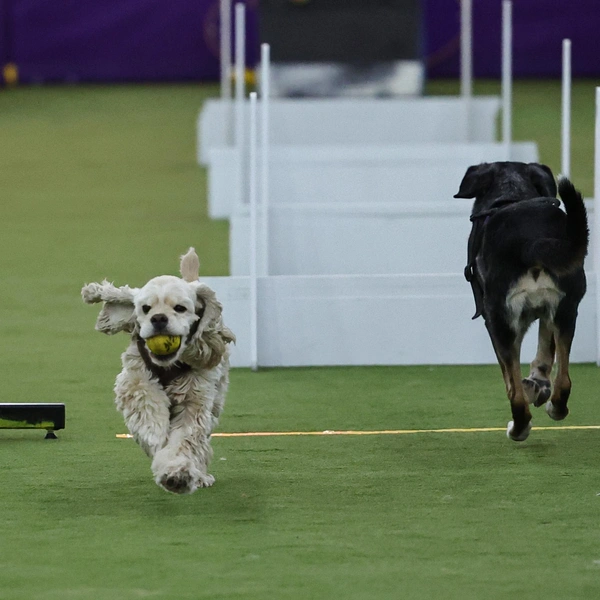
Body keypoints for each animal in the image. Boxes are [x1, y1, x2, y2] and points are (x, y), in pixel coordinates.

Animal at [454, 162, 584, 442]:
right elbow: (545, 353)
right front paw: (539, 384)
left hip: (500, 320)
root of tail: (529, 240)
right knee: (564, 381)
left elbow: (510, 377)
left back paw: (518, 429)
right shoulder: (549, 313)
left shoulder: (496, 321)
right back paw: (554, 407)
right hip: (567, 311)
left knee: (515, 396)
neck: (512, 194)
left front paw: (531, 386)